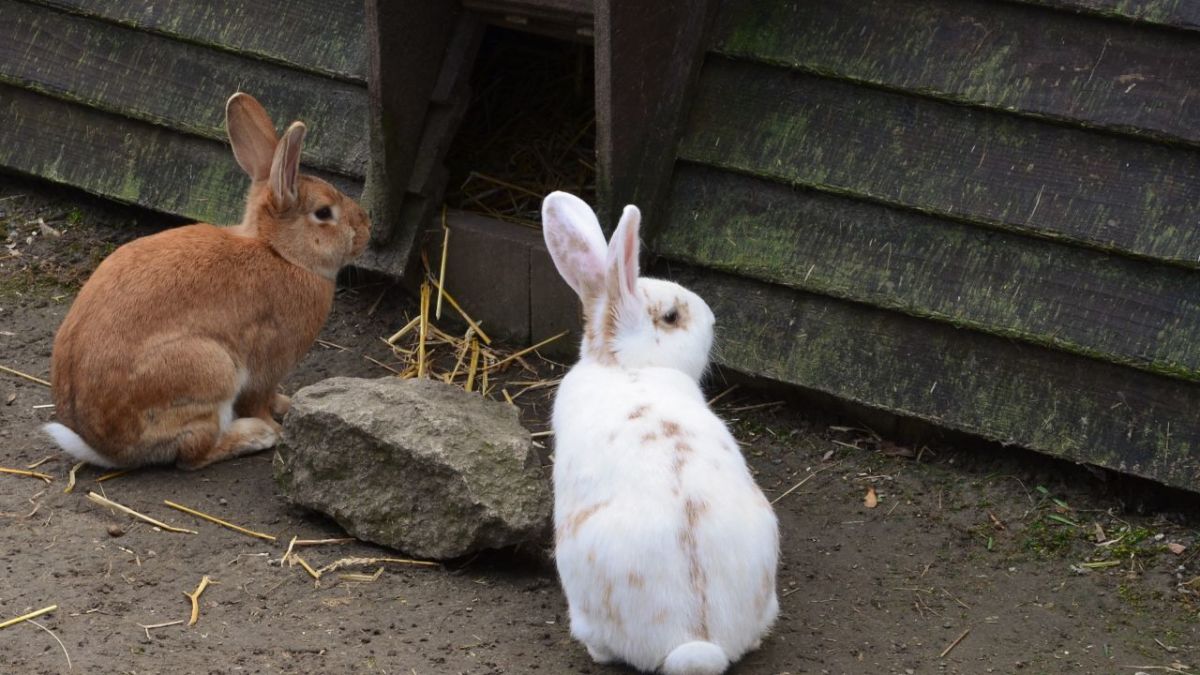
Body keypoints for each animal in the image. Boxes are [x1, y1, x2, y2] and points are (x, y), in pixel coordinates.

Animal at [45, 90, 369, 468]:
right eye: (323, 213)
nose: (366, 228)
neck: (279, 252)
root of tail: (106, 447)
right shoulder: (266, 364)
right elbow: (258, 398)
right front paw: (278, 427)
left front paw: (286, 405)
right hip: (211, 370)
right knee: (193, 453)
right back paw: (257, 436)